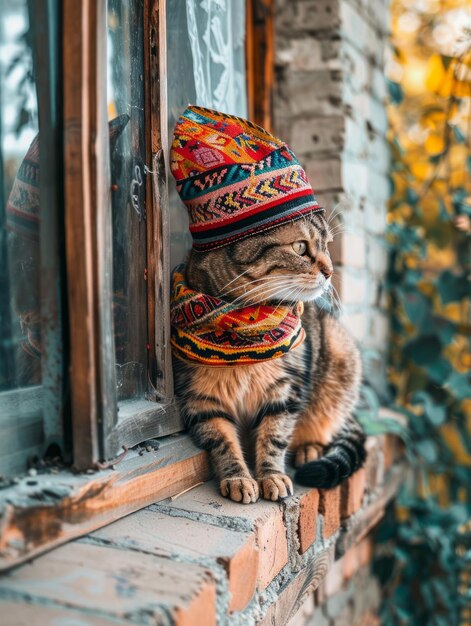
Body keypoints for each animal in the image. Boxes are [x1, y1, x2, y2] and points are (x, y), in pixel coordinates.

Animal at [171, 210, 366, 502]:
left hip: (340, 355)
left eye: (327, 246)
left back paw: (309, 449)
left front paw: (271, 476)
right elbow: (222, 442)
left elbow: (274, 436)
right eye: (300, 247)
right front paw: (238, 478)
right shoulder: (201, 399)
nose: (330, 272)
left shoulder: (285, 392)